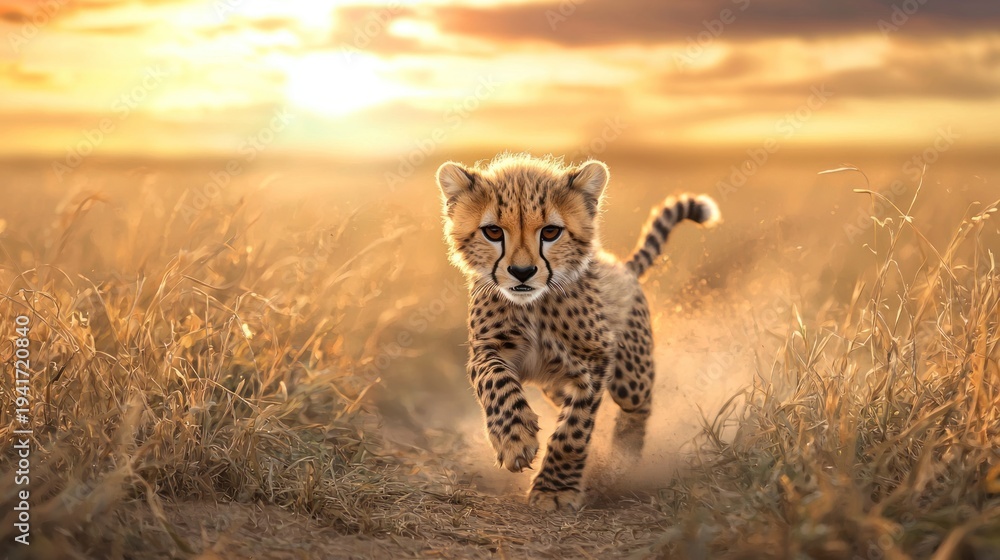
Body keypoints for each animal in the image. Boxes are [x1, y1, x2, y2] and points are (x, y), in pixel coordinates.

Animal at [436, 153, 720, 511]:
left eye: (551, 232)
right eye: (492, 231)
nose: (522, 272)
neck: (533, 304)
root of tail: (622, 266)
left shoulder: (594, 360)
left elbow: (573, 429)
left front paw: (555, 490)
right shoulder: (486, 349)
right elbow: (496, 381)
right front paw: (514, 438)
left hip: (630, 378)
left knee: (638, 404)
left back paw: (623, 457)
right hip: (554, 385)